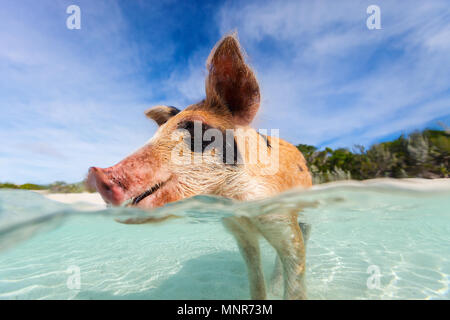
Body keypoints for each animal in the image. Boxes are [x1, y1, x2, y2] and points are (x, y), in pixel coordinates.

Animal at [88, 33, 312, 298]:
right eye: (158, 132)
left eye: (197, 128)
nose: (97, 173)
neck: (234, 201)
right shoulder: (239, 232)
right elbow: (254, 275)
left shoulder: (281, 218)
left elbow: (294, 268)